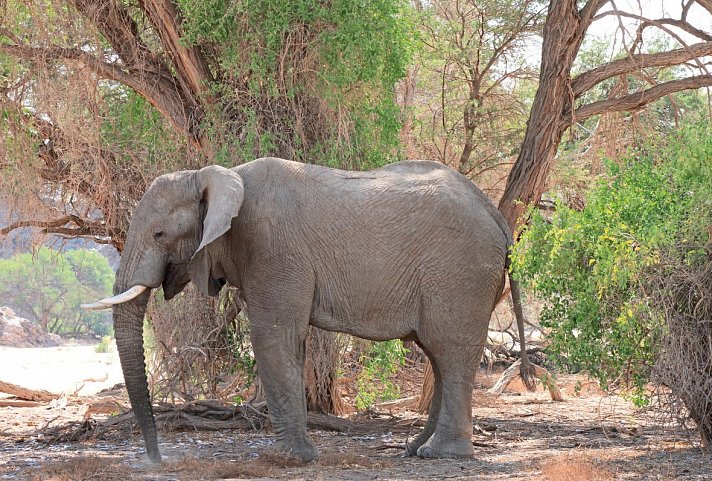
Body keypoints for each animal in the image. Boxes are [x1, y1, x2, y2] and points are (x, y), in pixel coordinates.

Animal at [83, 157, 536, 462]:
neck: (218, 175)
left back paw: (440, 455)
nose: (155, 459)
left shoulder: (273, 250)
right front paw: (297, 455)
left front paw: (288, 459)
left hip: (459, 273)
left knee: (450, 351)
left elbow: (273, 337)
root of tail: (497, 217)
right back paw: (414, 449)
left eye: (160, 234)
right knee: (438, 354)